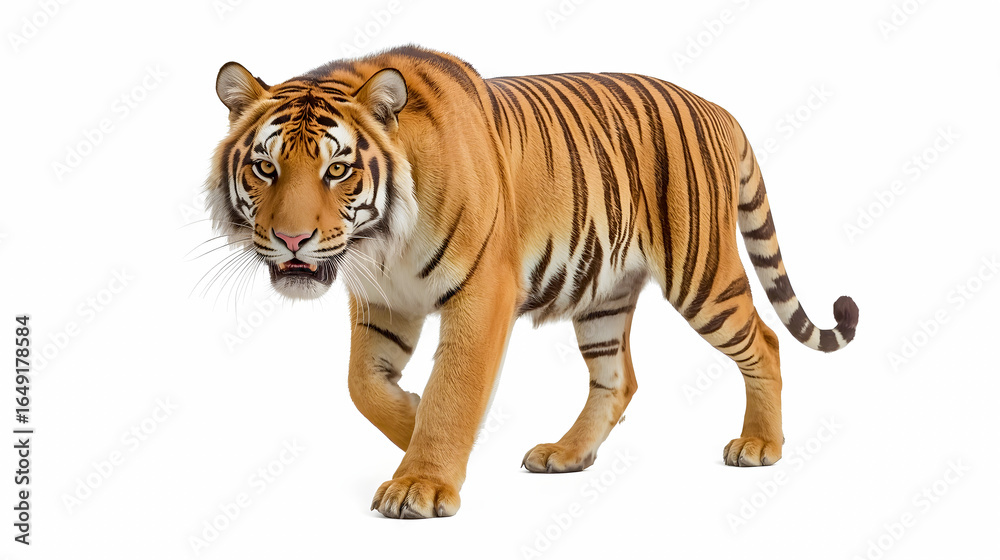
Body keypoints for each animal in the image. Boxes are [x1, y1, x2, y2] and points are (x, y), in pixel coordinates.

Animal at [205, 45, 858, 519]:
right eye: (265, 166)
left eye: (337, 169)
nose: (292, 240)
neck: (381, 245)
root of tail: (718, 110)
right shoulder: (382, 301)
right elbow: (361, 385)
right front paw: (413, 424)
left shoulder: (481, 293)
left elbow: (454, 388)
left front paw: (422, 482)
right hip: (604, 296)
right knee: (618, 379)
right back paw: (566, 454)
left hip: (701, 273)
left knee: (764, 341)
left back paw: (759, 446)